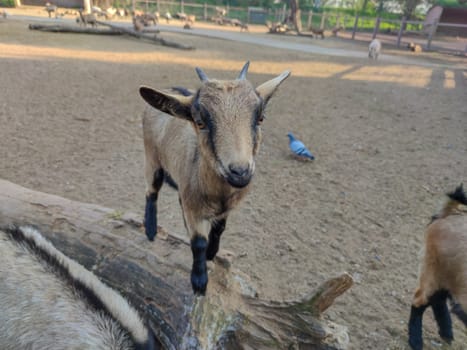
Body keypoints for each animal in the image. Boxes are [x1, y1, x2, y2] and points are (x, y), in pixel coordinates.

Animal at [139, 62, 290, 296]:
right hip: (152, 158)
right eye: (200, 122)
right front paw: (199, 282)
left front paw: (212, 252)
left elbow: (219, 229)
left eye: (260, 118)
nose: (240, 171)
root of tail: (170, 88)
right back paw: (151, 229)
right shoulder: (194, 209)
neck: (219, 194)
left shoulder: (224, 207)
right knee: (151, 191)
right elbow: (198, 243)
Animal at [408, 185, 467, 348]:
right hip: (433, 270)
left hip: (449, 276)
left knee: (438, 300)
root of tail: (448, 214)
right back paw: (415, 341)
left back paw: (446, 333)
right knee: (420, 300)